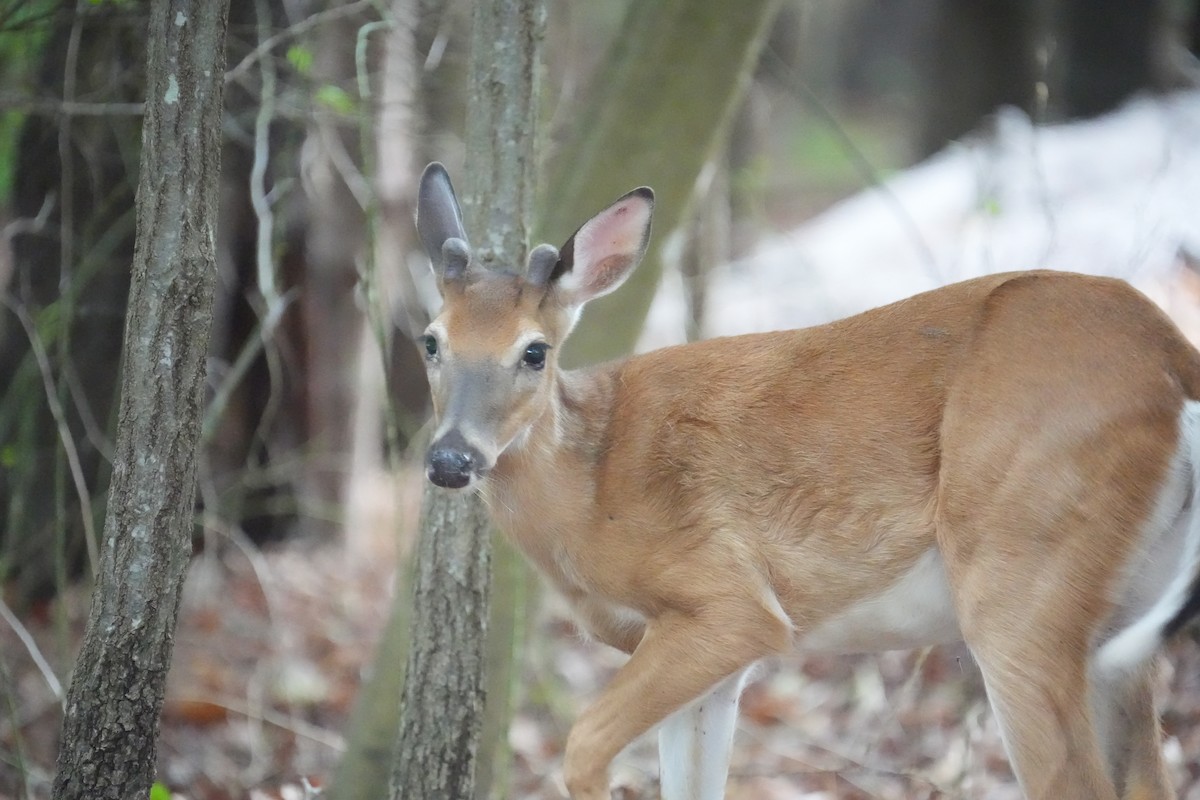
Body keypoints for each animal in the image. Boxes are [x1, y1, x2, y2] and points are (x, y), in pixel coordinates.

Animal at [412, 161, 1200, 800]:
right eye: (431, 342)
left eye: (534, 351)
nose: (450, 459)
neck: (592, 487)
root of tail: (1174, 362)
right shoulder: (708, 657)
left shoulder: (728, 601)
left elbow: (582, 745)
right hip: (1117, 616)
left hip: (1021, 573)